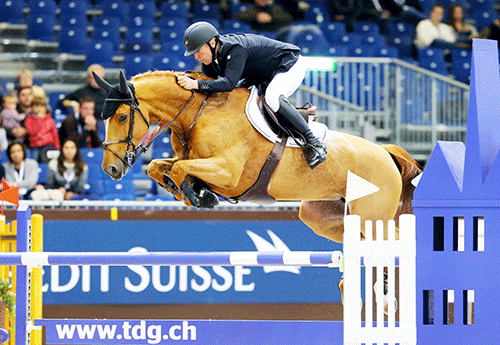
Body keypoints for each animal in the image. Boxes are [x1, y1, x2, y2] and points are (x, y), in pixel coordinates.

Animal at [94, 70, 422, 298]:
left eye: (121, 117)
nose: (111, 169)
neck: (198, 114)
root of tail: (387, 153)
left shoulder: (228, 173)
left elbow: (179, 169)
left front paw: (195, 193)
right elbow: (160, 167)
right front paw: (191, 192)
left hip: (371, 214)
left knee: (394, 239)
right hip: (324, 215)